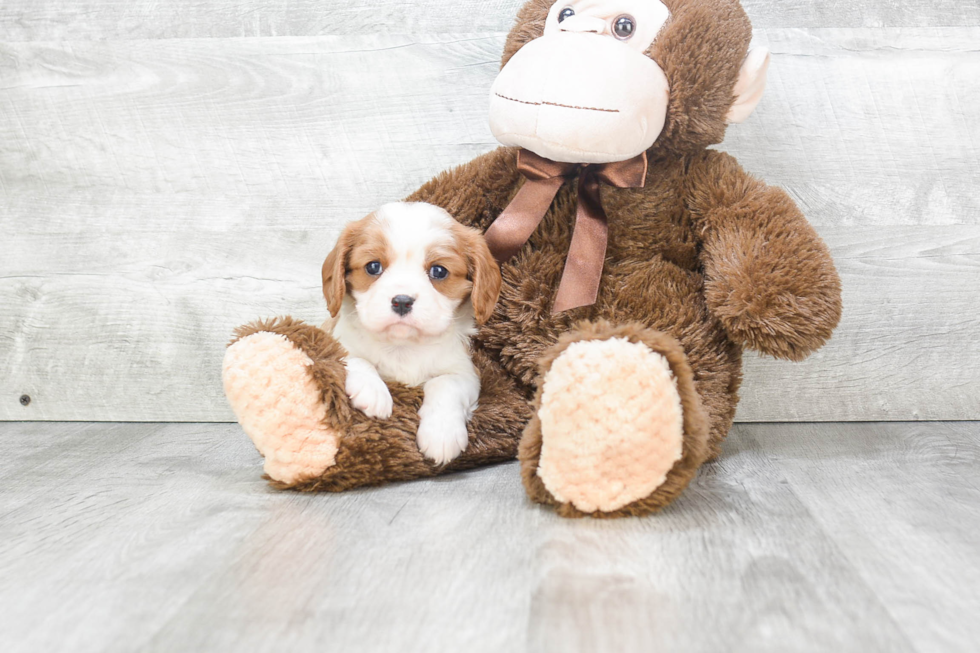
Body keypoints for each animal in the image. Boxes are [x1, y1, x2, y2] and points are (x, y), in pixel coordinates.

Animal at [322, 204, 502, 464]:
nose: (402, 301)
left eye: (438, 271)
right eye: (373, 267)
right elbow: (355, 359)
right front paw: (372, 391)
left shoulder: (464, 371)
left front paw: (441, 433)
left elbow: (446, 384)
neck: (403, 345)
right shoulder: (335, 340)